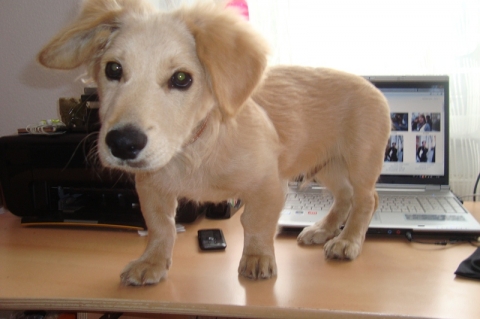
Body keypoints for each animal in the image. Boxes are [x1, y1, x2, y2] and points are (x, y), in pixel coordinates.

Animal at [37, 0, 390, 284]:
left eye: (181, 78)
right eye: (113, 69)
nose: (122, 144)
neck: (191, 150)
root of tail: (370, 85)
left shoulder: (269, 184)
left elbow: (255, 223)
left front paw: (257, 258)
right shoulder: (150, 186)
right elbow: (161, 227)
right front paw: (152, 262)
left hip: (360, 162)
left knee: (366, 200)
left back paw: (347, 241)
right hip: (326, 164)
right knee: (344, 197)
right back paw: (323, 229)